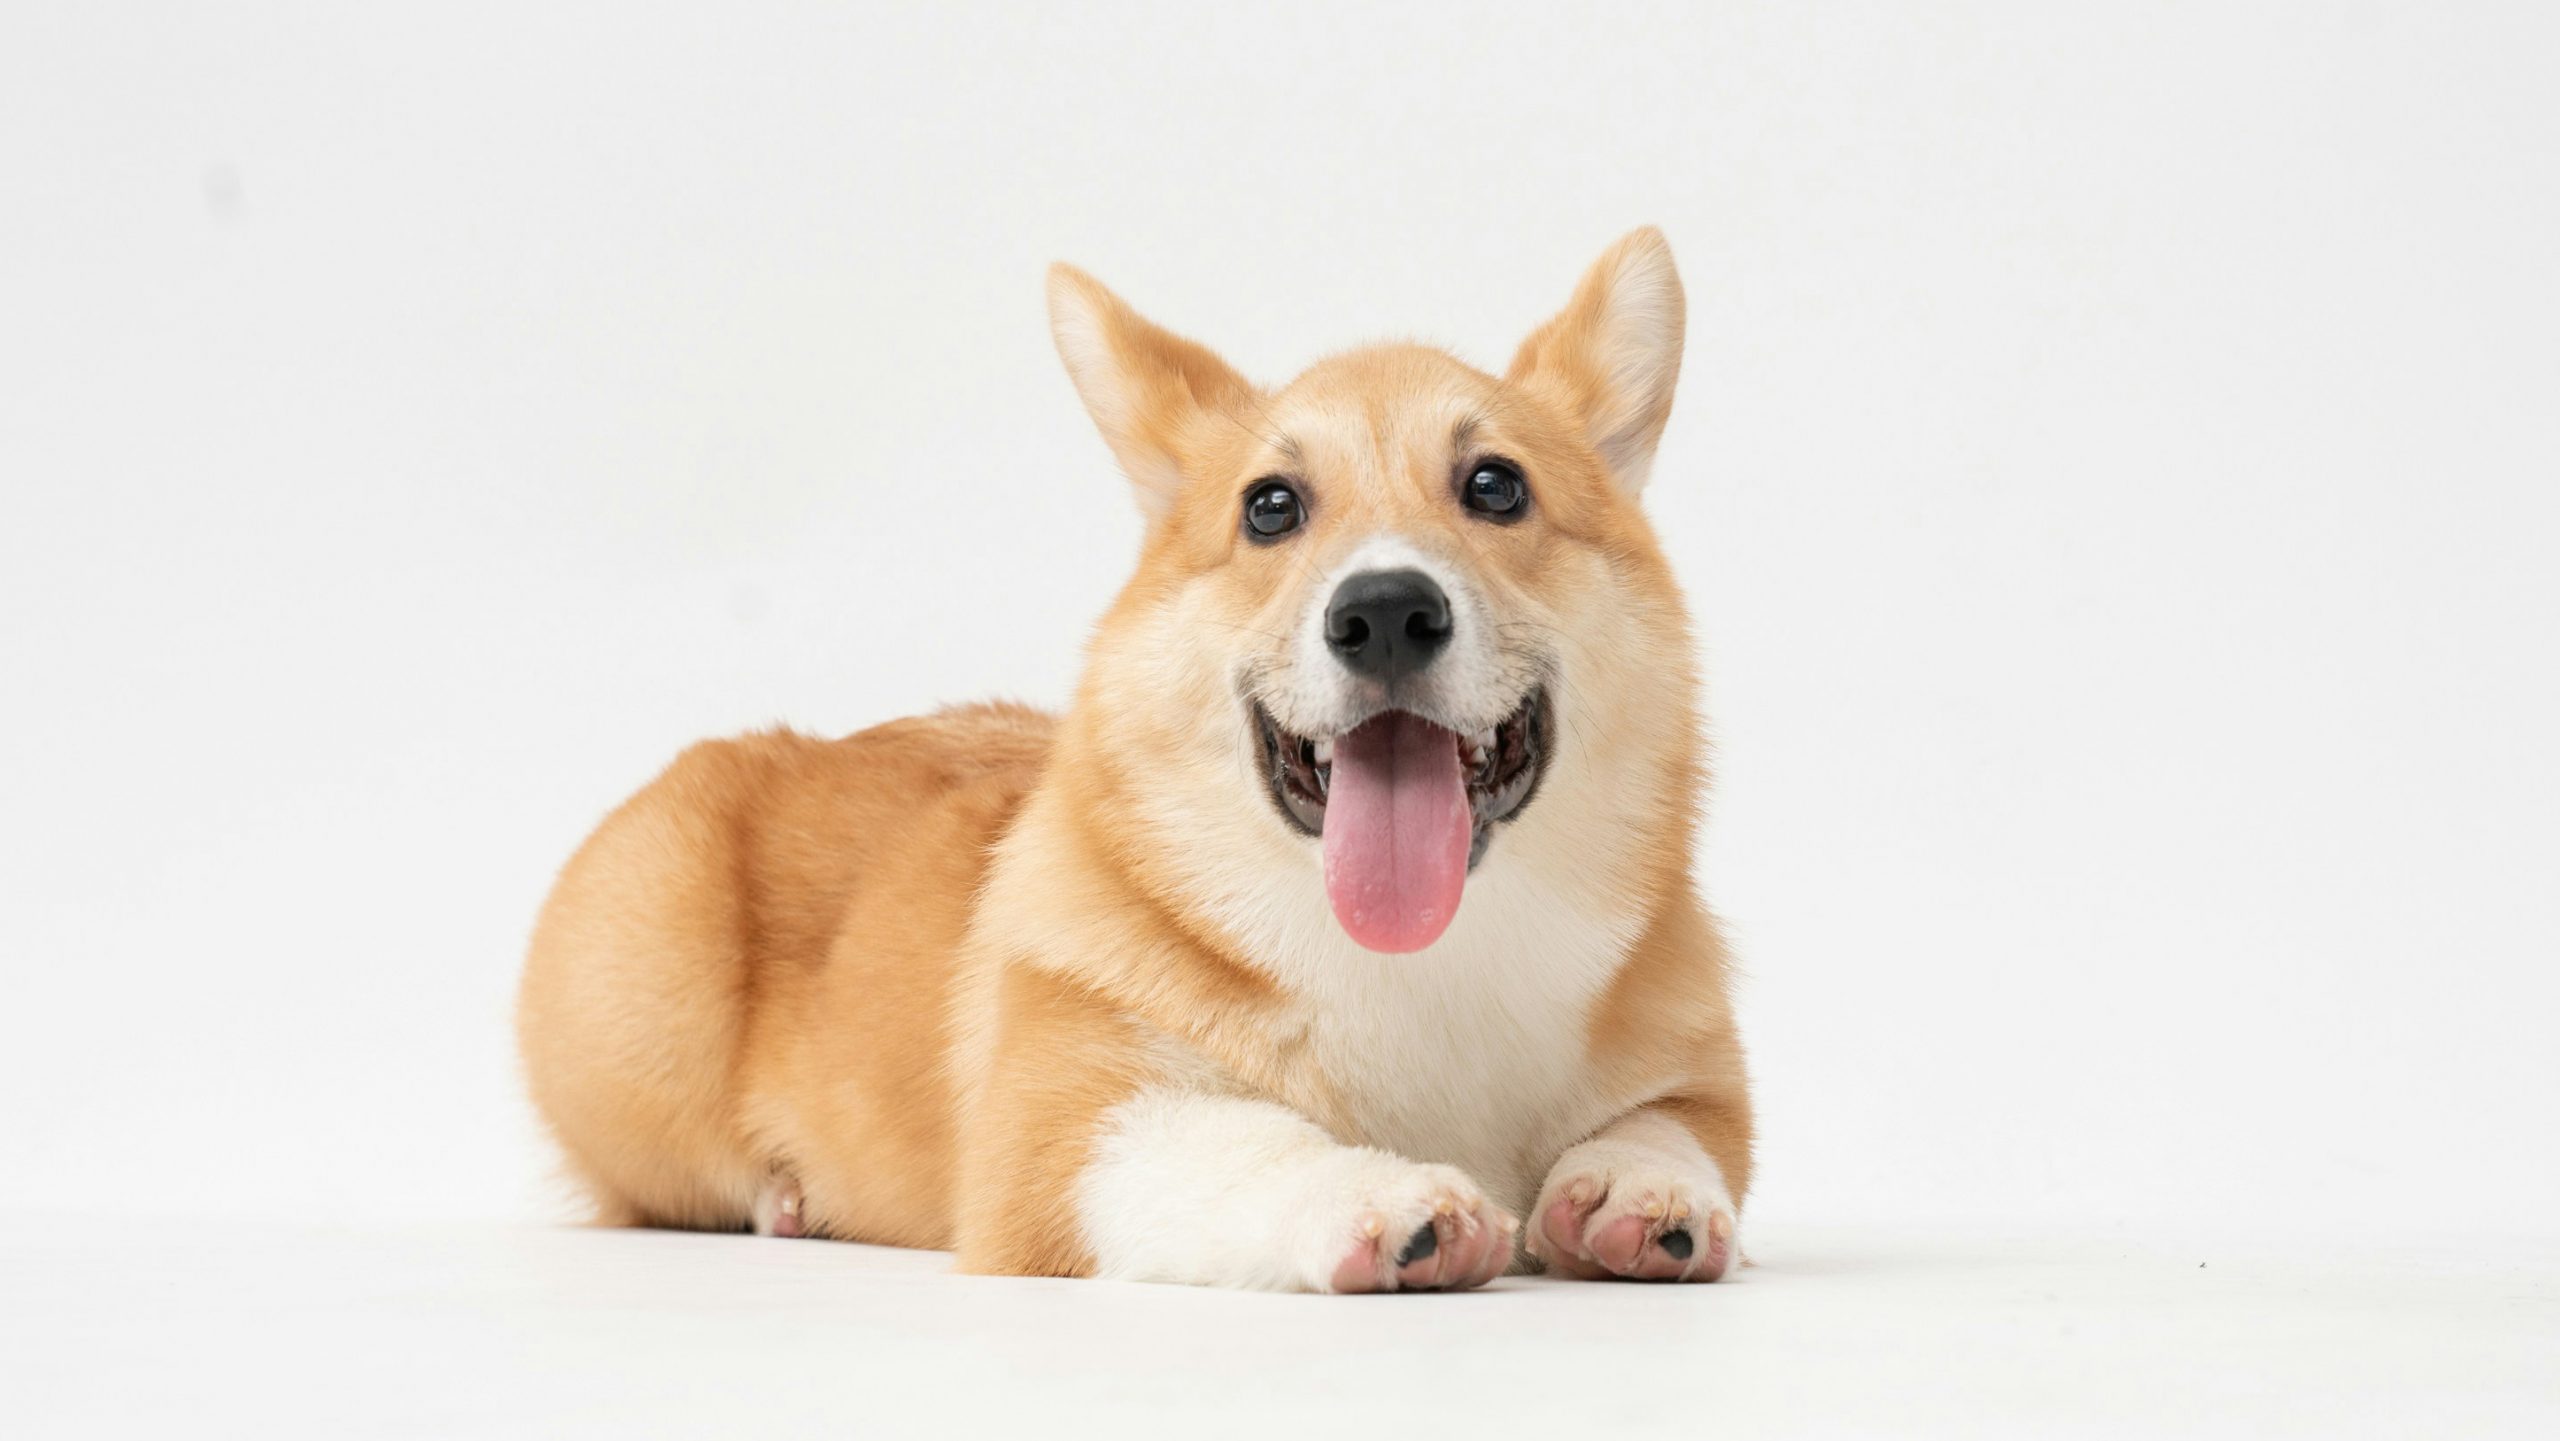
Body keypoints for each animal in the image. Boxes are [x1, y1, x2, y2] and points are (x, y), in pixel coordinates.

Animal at [509, 227, 1751, 1295]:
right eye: (1270, 507)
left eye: (1496, 486)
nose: (1387, 612)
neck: (1420, 962)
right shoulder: (1069, 1136)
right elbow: (1244, 1137)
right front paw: (1382, 1195)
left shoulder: (1700, 1077)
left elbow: (1672, 1127)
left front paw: (1636, 1191)